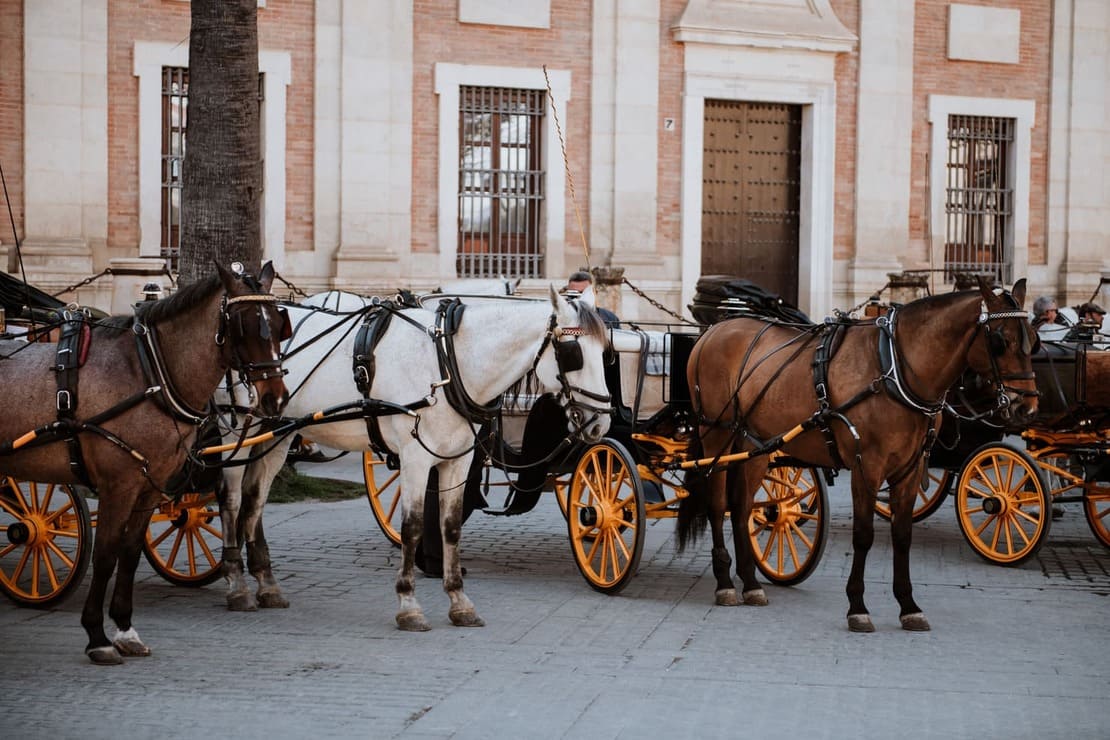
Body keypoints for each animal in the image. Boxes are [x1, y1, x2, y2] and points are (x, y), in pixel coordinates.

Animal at [0, 261, 290, 665]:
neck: (149, 374)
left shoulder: (149, 486)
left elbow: (131, 553)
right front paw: (97, 636)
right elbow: (106, 555)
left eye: (279, 323)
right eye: (243, 325)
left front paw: (125, 629)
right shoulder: (117, 486)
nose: (275, 400)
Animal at [217, 288, 612, 630]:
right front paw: (408, 605)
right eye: (574, 353)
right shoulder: (415, 459)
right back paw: (237, 584)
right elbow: (413, 527)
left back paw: (267, 584)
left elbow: (450, 526)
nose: (601, 423)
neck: (447, 363)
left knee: (255, 501)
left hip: (278, 434)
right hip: (236, 433)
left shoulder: (457, 459)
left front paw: (459, 602)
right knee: (232, 501)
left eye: (606, 352)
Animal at [674, 277, 1038, 630]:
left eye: (1033, 341)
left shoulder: (910, 469)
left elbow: (902, 535)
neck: (893, 369)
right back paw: (725, 583)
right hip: (716, 434)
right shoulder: (867, 467)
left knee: (740, 507)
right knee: (717, 503)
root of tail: (714, 331)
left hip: (755, 444)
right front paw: (858, 607)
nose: (1027, 406)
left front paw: (909, 606)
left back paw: (750, 584)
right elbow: (863, 536)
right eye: (999, 341)